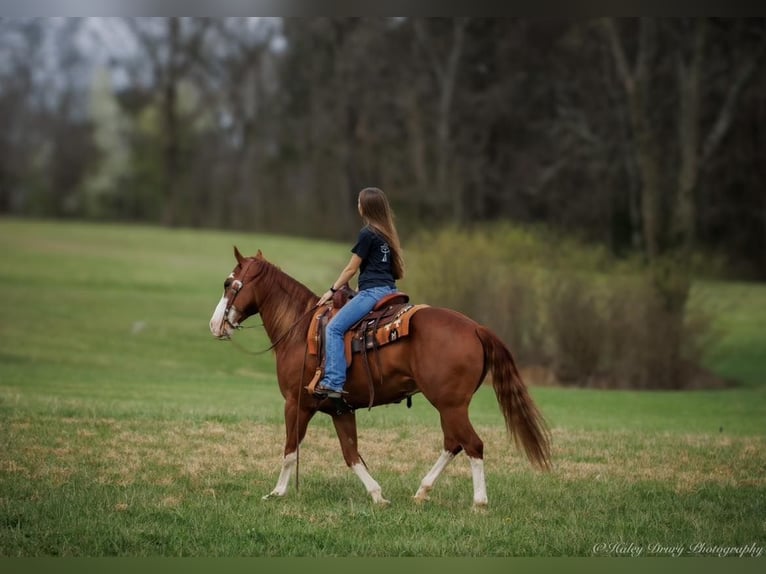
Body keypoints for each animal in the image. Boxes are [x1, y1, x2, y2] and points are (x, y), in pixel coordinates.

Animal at [210, 248, 552, 508]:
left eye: (228, 283)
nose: (215, 325)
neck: (300, 328)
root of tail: (476, 328)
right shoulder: (340, 409)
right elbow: (351, 455)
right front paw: (377, 496)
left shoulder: (296, 403)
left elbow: (290, 449)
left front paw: (278, 492)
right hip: (450, 406)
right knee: (453, 443)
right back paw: (422, 491)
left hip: (450, 404)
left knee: (472, 444)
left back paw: (479, 502)